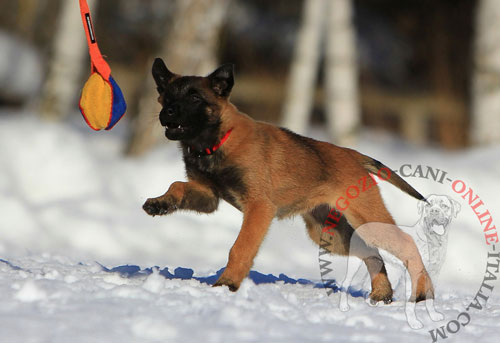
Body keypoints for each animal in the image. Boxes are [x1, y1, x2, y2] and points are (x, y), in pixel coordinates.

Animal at [142, 58, 434, 304]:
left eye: (194, 97)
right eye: (167, 96)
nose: (167, 112)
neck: (216, 141)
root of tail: (353, 154)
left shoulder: (259, 208)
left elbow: (240, 248)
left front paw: (227, 284)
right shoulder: (208, 196)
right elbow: (178, 186)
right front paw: (160, 203)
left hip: (365, 219)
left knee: (406, 244)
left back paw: (423, 293)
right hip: (329, 234)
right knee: (371, 251)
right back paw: (383, 293)